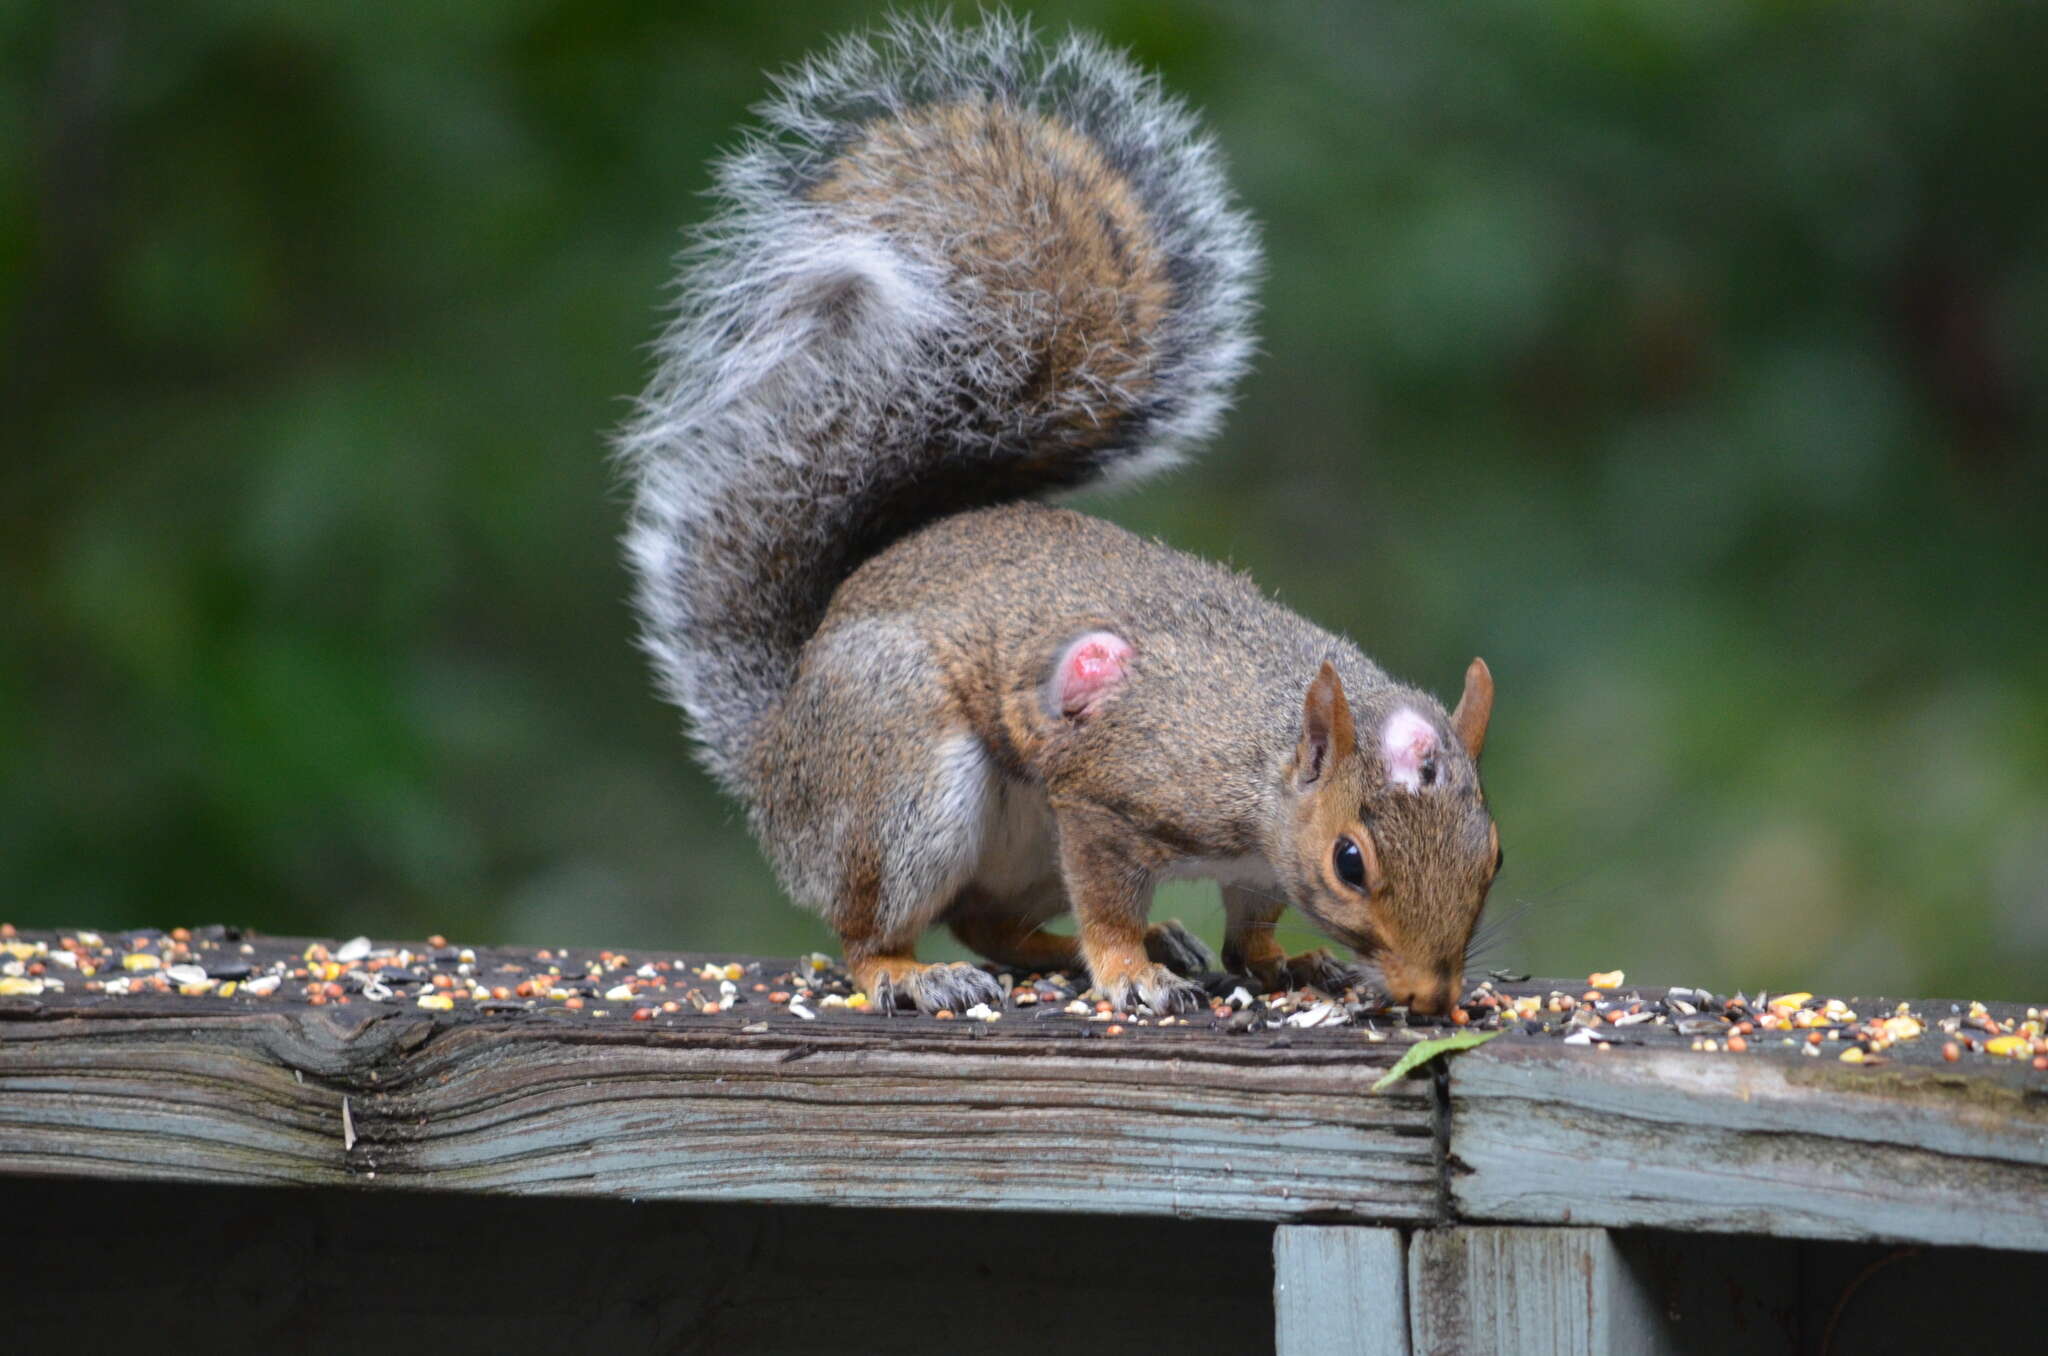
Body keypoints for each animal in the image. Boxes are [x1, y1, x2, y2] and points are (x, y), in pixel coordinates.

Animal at [614, 13, 1499, 1020]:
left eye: (1494, 855)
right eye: (1351, 861)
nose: (1431, 1000)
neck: (1262, 759)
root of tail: (776, 753)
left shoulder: (1254, 863)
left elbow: (1254, 924)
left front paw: (1288, 962)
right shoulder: (1107, 797)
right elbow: (1109, 895)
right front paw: (1128, 970)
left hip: (1018, 847)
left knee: (988, 922)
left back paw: (1094, 945)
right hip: (906, 788)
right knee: (868, 930)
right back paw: (921, 972)